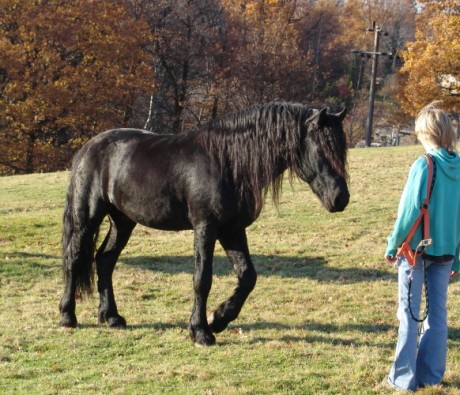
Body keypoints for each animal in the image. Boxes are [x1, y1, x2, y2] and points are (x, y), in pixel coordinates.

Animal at [58, 103, 348, 346]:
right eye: (322, 149)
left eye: (341, 149)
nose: (340, 198)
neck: (227, 162)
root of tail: (88, 149)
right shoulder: (205, 228)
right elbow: (202, 278)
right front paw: (200, 331)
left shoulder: (232, 230)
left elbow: (247, 276)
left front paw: (219, 318)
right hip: (87, 217)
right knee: (74, 258)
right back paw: (67, 316)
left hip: (123, 221)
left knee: (105, 260)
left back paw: (111, 317)